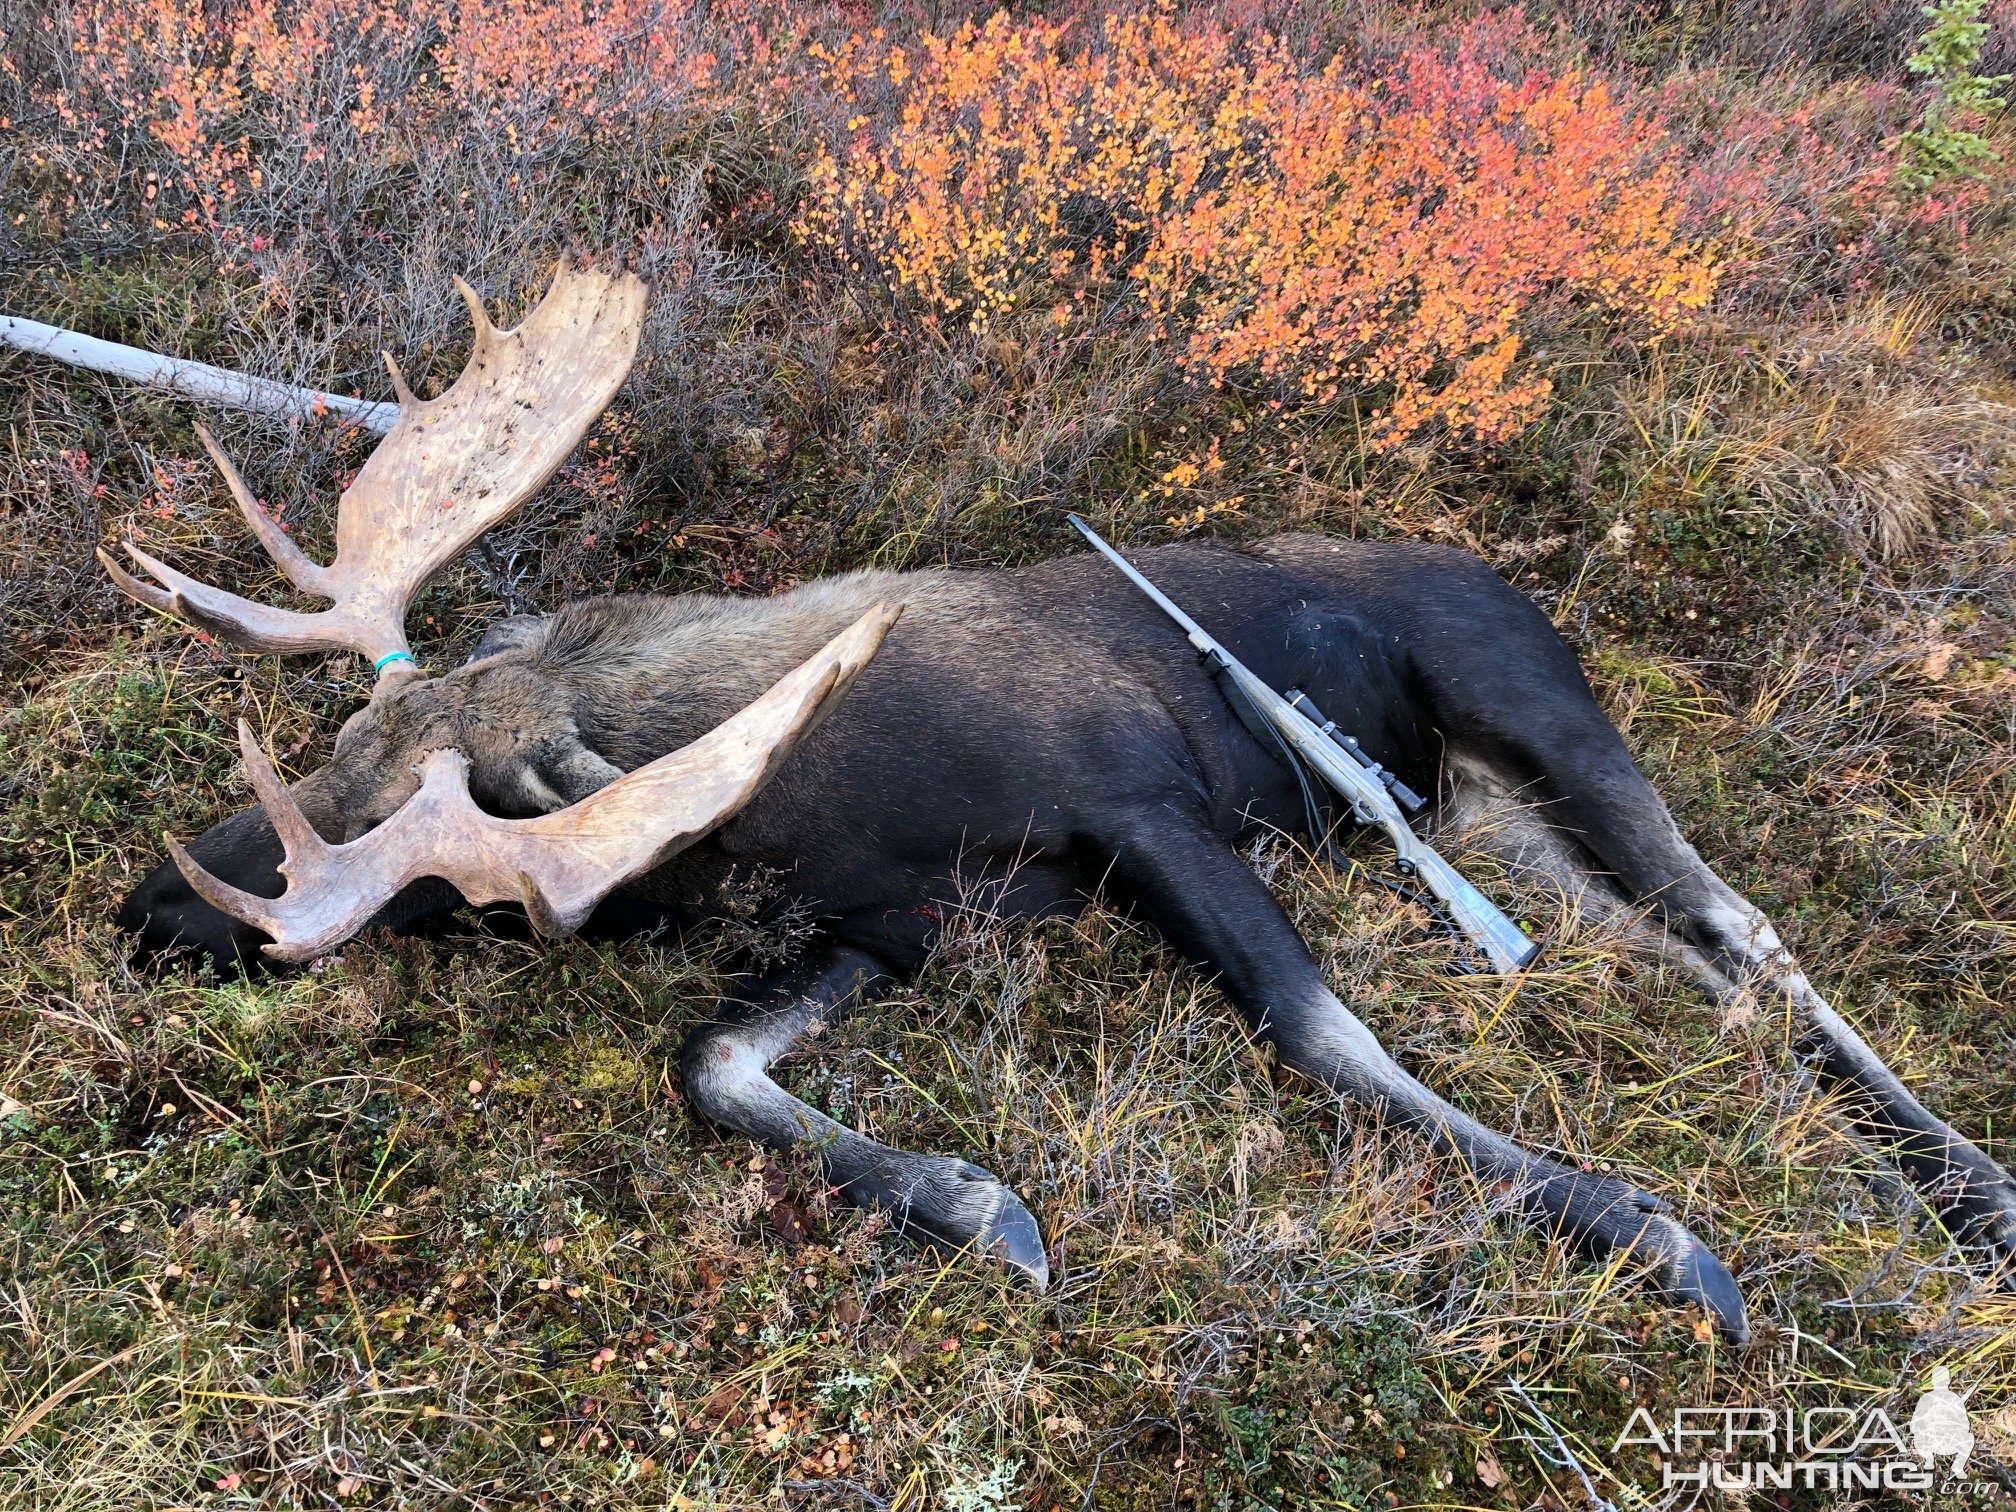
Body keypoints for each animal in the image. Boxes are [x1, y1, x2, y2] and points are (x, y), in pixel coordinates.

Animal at [106, 264, 2016, 1346]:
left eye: (428, 869)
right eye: (343, 740)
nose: (150, 902)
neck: (809, 791)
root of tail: (1510, 572)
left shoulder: (1144, 808)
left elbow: (1323, 1035)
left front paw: (1649, 1232)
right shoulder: (905, 919)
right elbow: (713, 1062)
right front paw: (978, 1205)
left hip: (1533, 716)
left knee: (1747, 929)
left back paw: (1970, 1188)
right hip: (1496, 822)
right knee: (1693, 959)